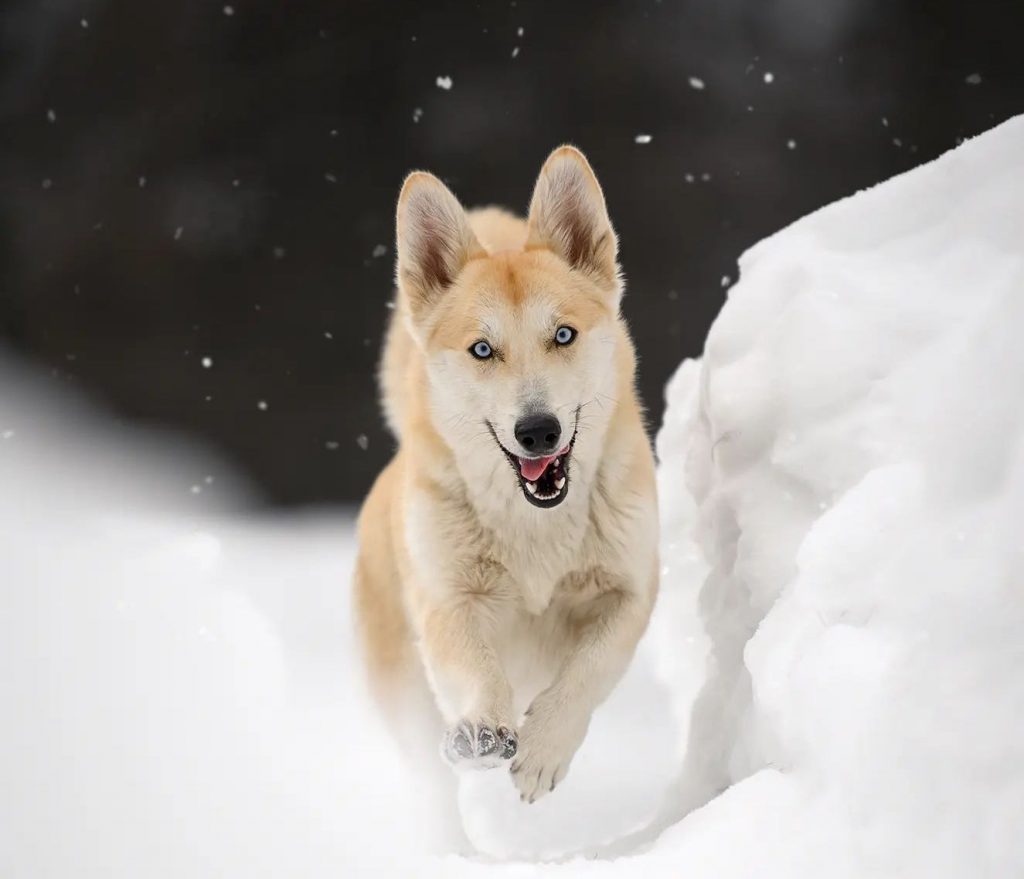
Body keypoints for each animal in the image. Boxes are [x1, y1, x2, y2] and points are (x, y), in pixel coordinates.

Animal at [354, 143, 655, 803]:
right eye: (483, 349)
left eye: (563, 334)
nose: (537, 431)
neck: (535, 528)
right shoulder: (448, 600)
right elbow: (476, 667)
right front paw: (485, 734)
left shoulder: (631, 590)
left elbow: (589, 669)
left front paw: (543, 749)